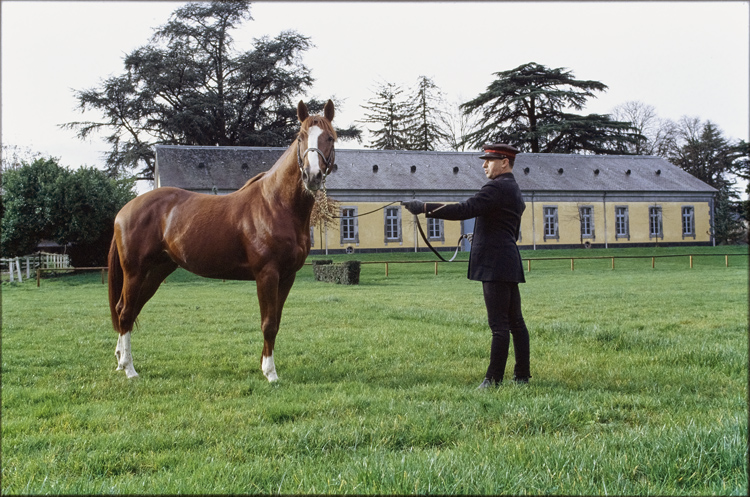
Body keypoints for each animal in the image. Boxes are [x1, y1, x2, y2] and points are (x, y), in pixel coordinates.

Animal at [109, 100, 338, 380]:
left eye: (329, 137)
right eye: (301, 137)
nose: (312, 176)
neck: (275, 205)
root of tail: (124, 211)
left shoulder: (287, 276)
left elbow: (276, 321)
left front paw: (264, 364)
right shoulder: (267, 274)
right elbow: (268, 323)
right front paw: (270, 373)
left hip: (156, 271)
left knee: (128, 310)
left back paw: (121, 360)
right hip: (135, 272)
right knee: (126, 312)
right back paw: (130, 370)